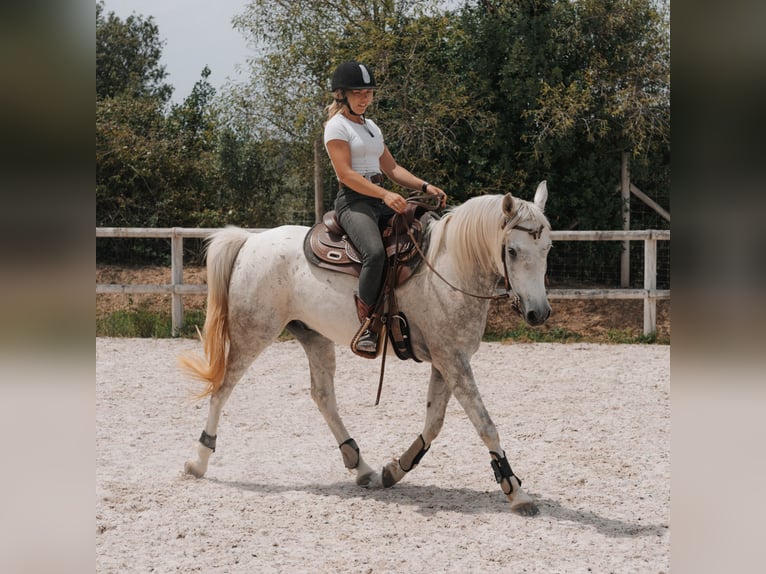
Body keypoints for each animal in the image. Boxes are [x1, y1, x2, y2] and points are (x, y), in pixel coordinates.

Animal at [180, 181, 552, 516]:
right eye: (512, 251)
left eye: (547, 248)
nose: (539, 312)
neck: (450, 269)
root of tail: (251, 240)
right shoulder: (452, 361)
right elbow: (484, 424)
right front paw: (516, 492)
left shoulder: (447, 359)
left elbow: (434, 422)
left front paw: (394, 470)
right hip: (253, 332)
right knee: (222, 388)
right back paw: (198, 461)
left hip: (314, 336)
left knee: (323, 397)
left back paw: (360, 465)